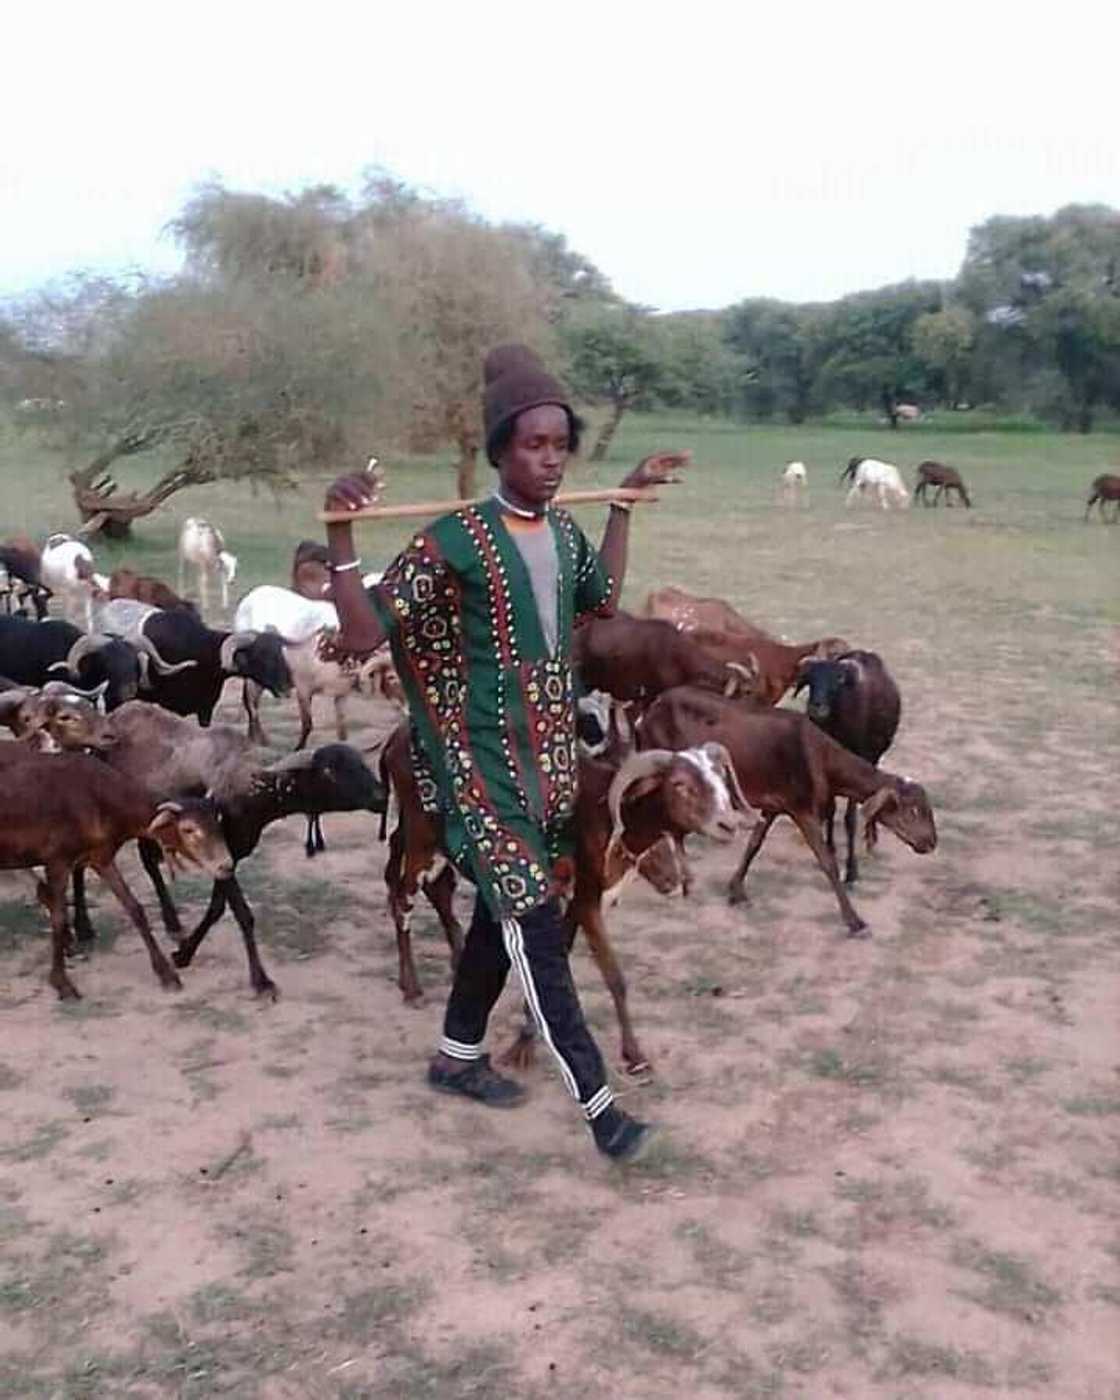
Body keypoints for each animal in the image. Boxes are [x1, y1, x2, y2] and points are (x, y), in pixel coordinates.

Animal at [229, 582, 400, 750]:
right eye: (391, 677)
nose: (403, 709)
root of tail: (252, 595)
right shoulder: (303, 688)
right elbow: (307, 724)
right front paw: (298, 749)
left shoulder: (342, 691)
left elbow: (342, 729)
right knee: (250, 703)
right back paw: (257, 739)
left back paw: (255, 738)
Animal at [638, 683, 935, 935]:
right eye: (913, 810)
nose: (931, 842)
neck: (823, 760)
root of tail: (651, 709)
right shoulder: (801, 807)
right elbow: (827, 861)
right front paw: (854, 921)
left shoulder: (774, 805)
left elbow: (754, 844)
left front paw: (737, 891)